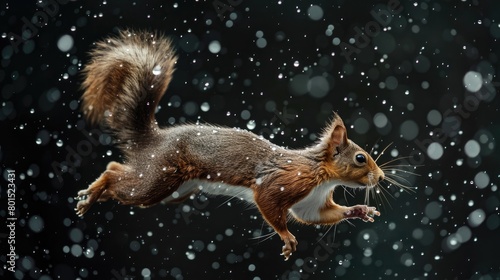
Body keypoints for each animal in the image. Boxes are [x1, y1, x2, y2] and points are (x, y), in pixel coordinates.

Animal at [75, 29, 386, 260]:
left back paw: (96, 195)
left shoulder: (312, 202)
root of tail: (154, 140)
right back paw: (94, 192)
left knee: (119, 172)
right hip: (159, 179)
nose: (381, 177)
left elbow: (317, 215)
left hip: (175, 192)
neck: (322, 175)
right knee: (114, 172)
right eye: (360, 158)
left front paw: (360, 210)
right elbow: (270, 206)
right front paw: (286, 237)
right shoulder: (283, 182)